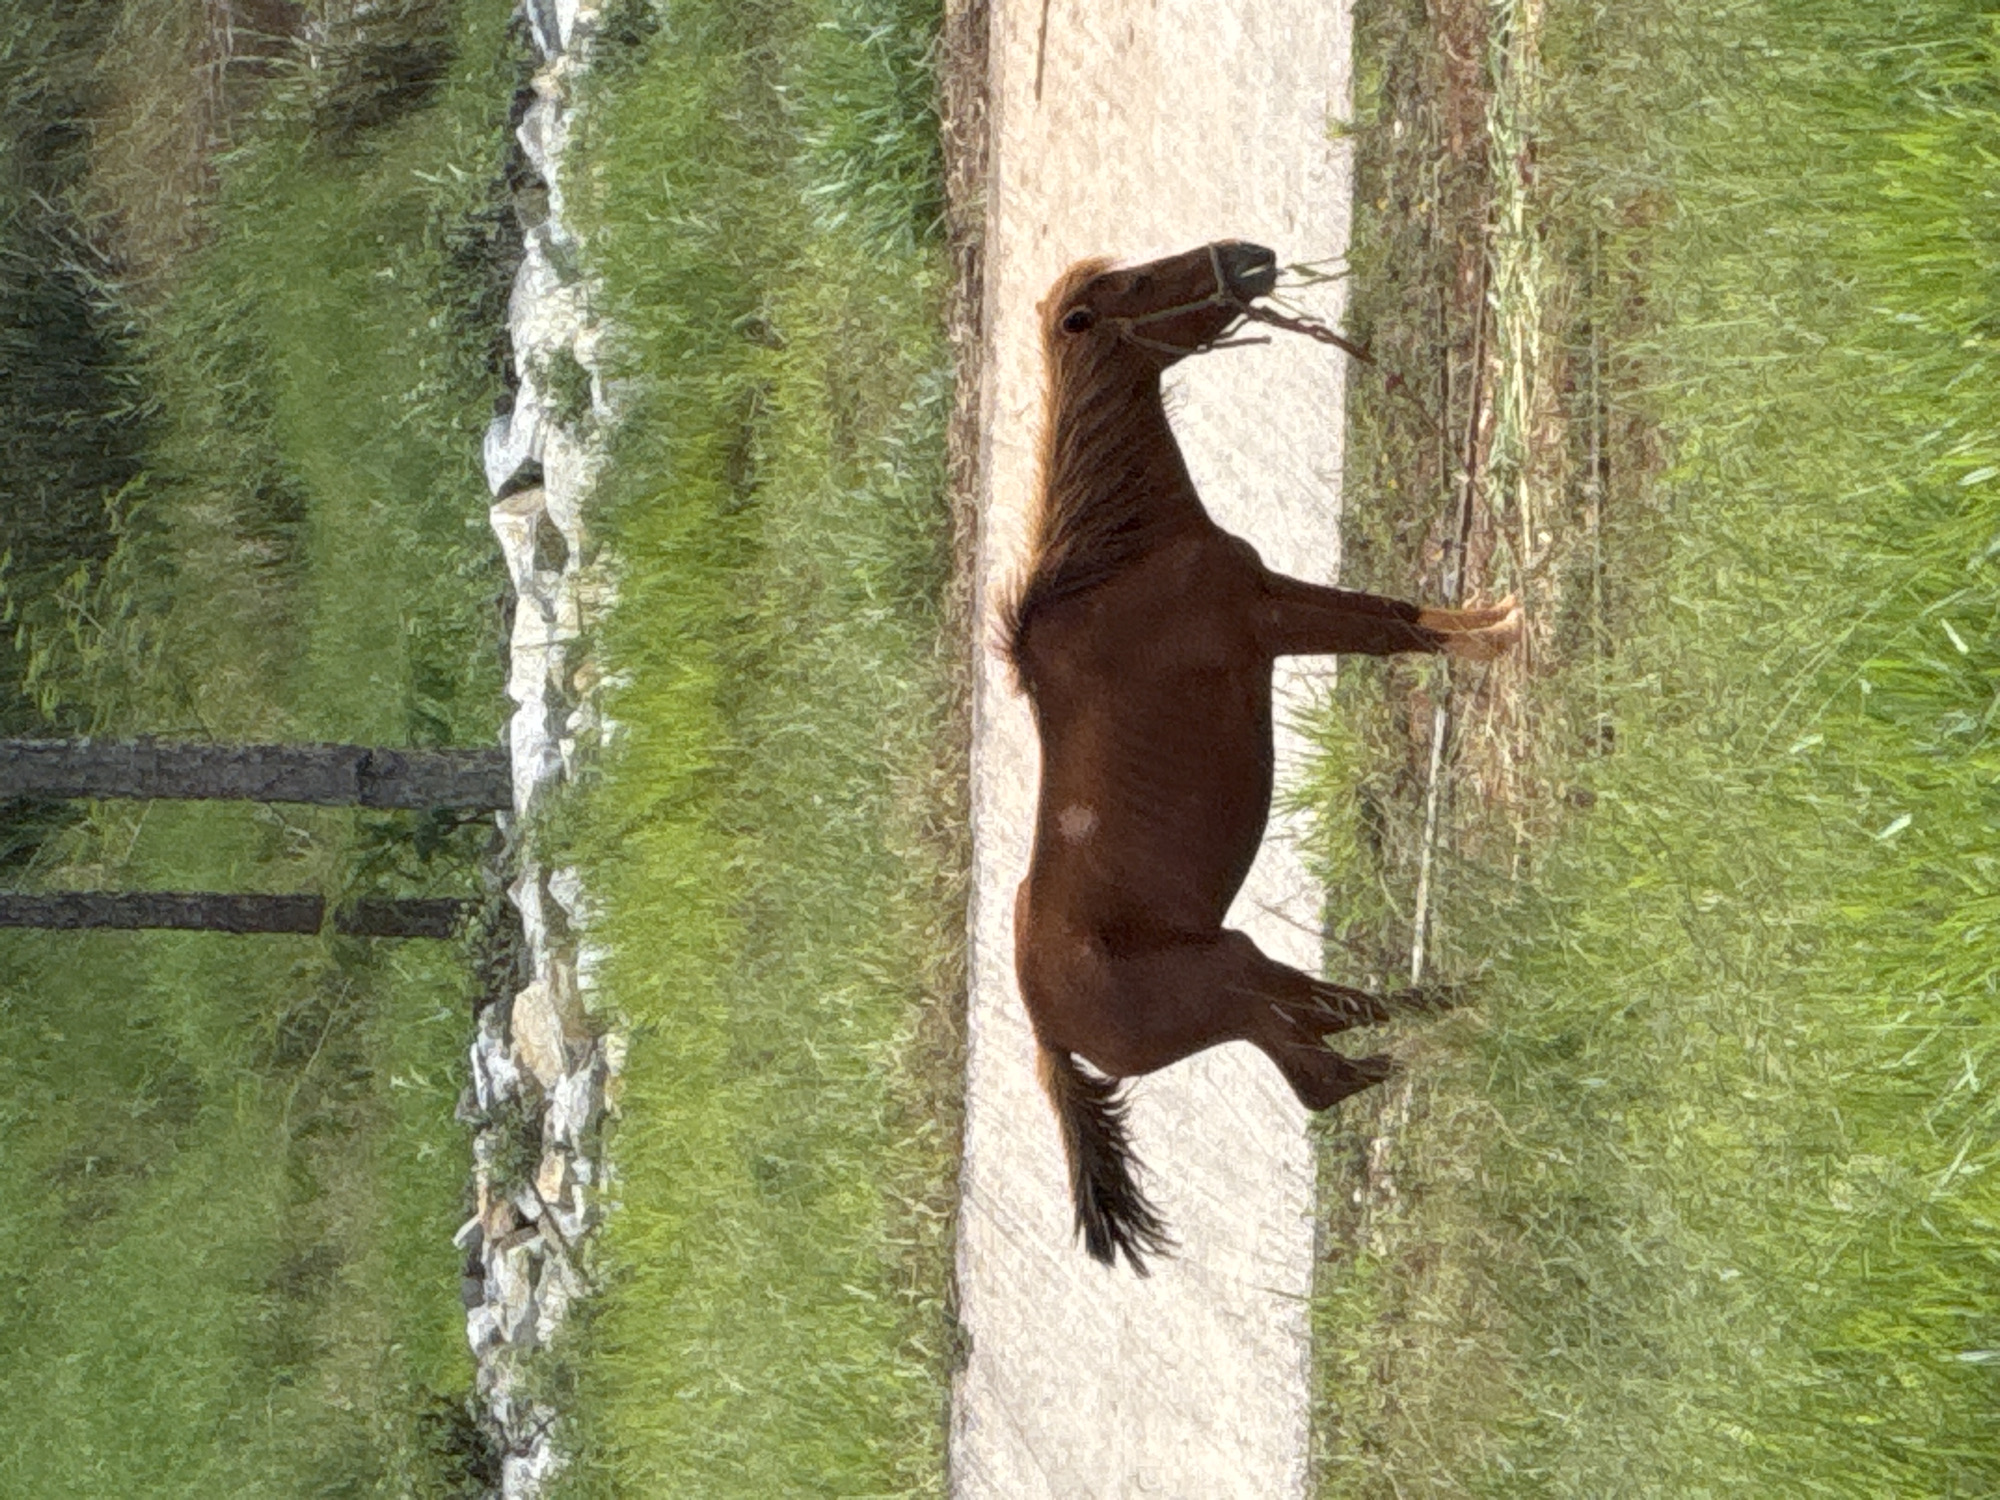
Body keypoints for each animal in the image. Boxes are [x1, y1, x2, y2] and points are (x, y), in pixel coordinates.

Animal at [1001, 240, 1522, 1273]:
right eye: (1134, 287)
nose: (1249, 257)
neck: (1118, 564)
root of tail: (1049, 1030)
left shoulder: (1276, 596)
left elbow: (1396, 613)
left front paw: (1498, 613)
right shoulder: (1275, 619)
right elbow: (1396, 630)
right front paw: (1507, 632)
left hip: (1243, 973)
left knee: (1329, 1050)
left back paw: (1453, 1011)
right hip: (1234, 989)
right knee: (1331, 1051)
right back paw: (1461, 1024)